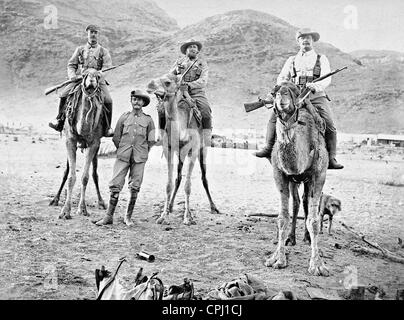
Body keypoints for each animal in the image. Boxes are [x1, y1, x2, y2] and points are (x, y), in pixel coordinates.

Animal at [49, 69, 106, 219]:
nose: (91, 81)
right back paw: (55, 199)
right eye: (84, 74)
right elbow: (70, 176)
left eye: (98, 76)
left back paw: (101, 202)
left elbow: (85, 177)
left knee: (95, 174)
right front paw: (65, 211)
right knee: (66, 171)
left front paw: (83, 209)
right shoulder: (70, 141)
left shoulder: (94, 144)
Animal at [147, 74, 219, 226]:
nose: (150, 85)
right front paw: (163, 215)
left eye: (167, 82)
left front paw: (187, 217)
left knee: (204, 177)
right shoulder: (168, 149)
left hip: (203, 149)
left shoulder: (193, 150)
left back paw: (213, 207)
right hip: (180, 153)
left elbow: (188, 186)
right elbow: (169, 184)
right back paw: (171, 206)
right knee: (178, 177)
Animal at [266, 81, 330, 276]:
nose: (282, 96)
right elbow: (282, 218)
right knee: (296, 202)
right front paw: (278, 259)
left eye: (294, 92)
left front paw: (317, 265)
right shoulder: (280, 174)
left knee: (307, 203)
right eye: (274, 92)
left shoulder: (319, 175)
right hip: (294, 181)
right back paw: (291, 238)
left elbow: (314, 220)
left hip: (310, 180)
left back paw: (307, 238)